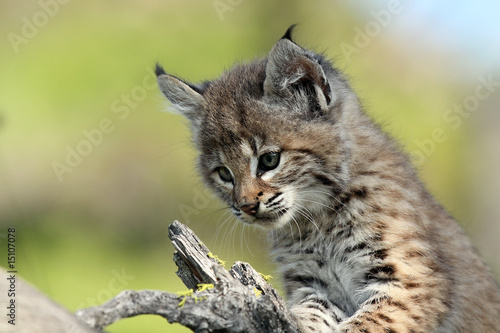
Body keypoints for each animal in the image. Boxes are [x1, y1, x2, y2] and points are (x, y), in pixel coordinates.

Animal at [156, 27, 500, 330]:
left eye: (269, 160)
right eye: (224, 174)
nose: (246, 207)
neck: (318, 220)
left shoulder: (413, 282)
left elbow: (365, 325)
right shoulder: (314, 285)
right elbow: (307, 316)